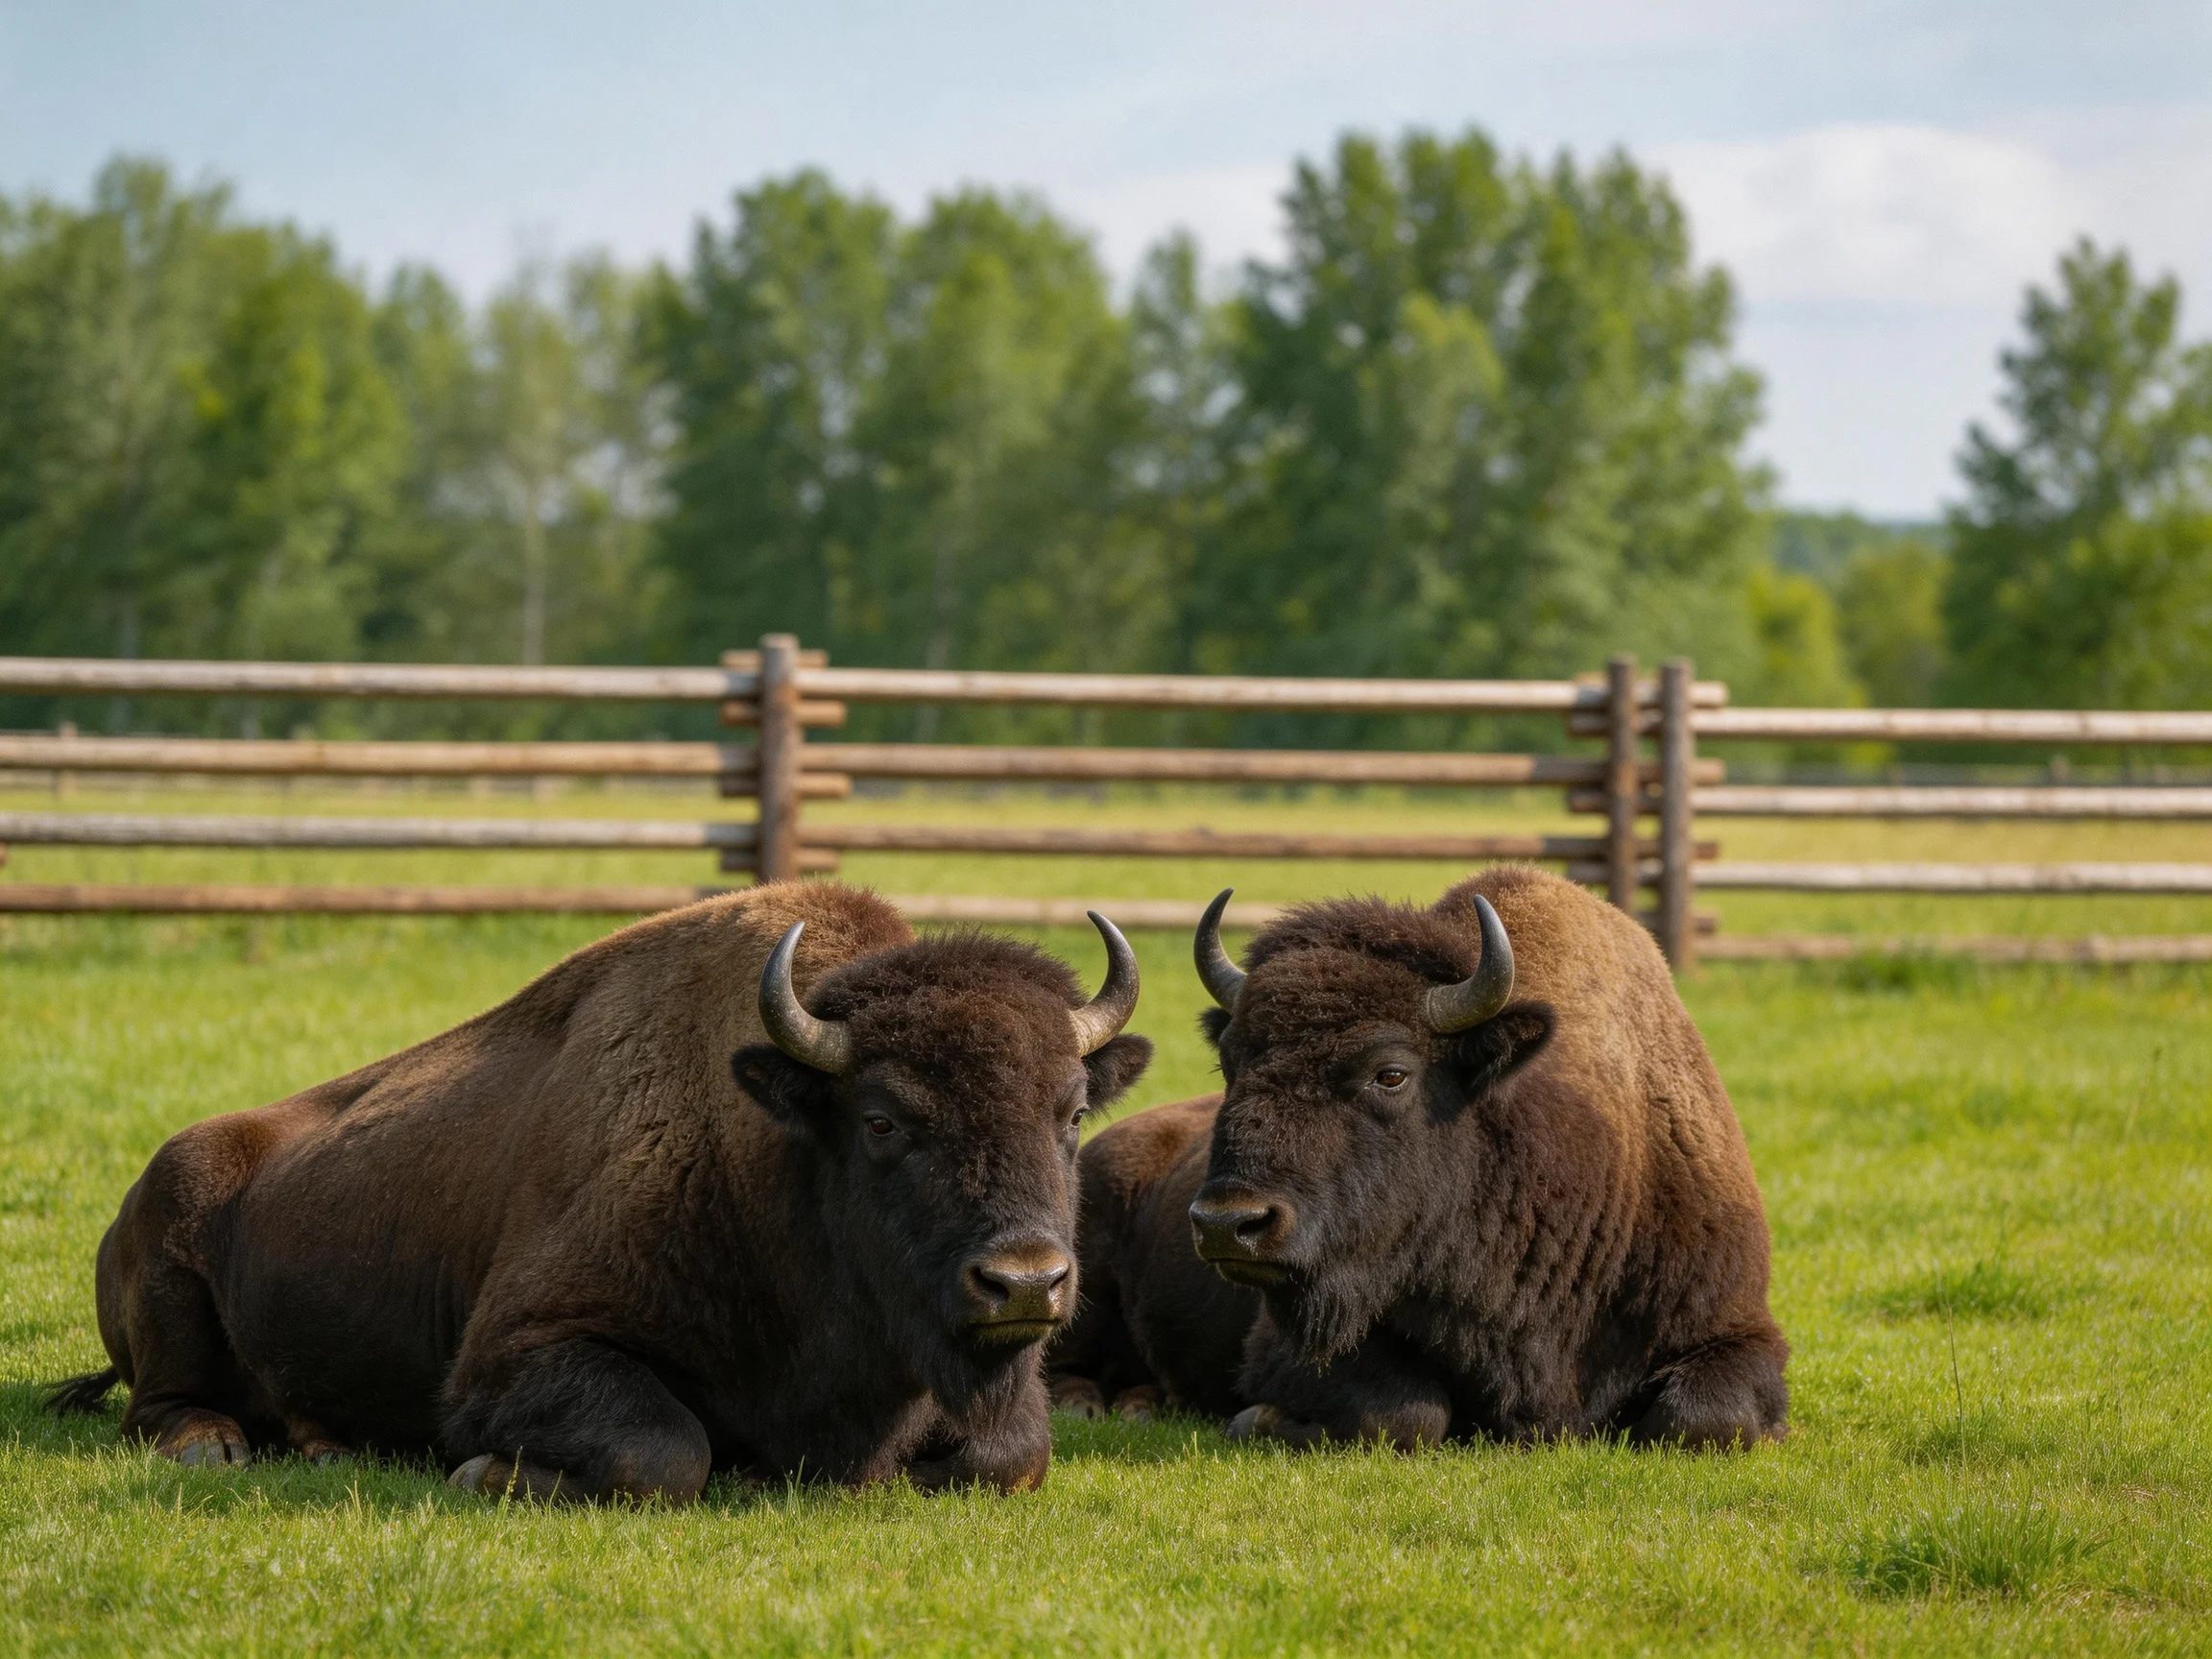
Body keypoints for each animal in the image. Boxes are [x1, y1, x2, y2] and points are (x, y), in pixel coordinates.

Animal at [51, 884, 1152, 1499]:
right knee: (162, 1408)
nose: (1026, 1282)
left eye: (1071, 1113)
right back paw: (214, 1449)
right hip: (173, 1277)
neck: (775, 1154)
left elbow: (1010, 1455)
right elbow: (661, 1452)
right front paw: (484, 1474)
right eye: (882, 1120)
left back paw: (324, 1450)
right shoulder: (513, 1355)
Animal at [1049, 866, 1787, 1450]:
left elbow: (1703, 1420)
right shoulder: (1298, 1341)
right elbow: (1407, 1413)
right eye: (1230, 1062)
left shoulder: (1736, 1327)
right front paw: (1255, 1420)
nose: (1228, 1223)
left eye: (1392, 1074)